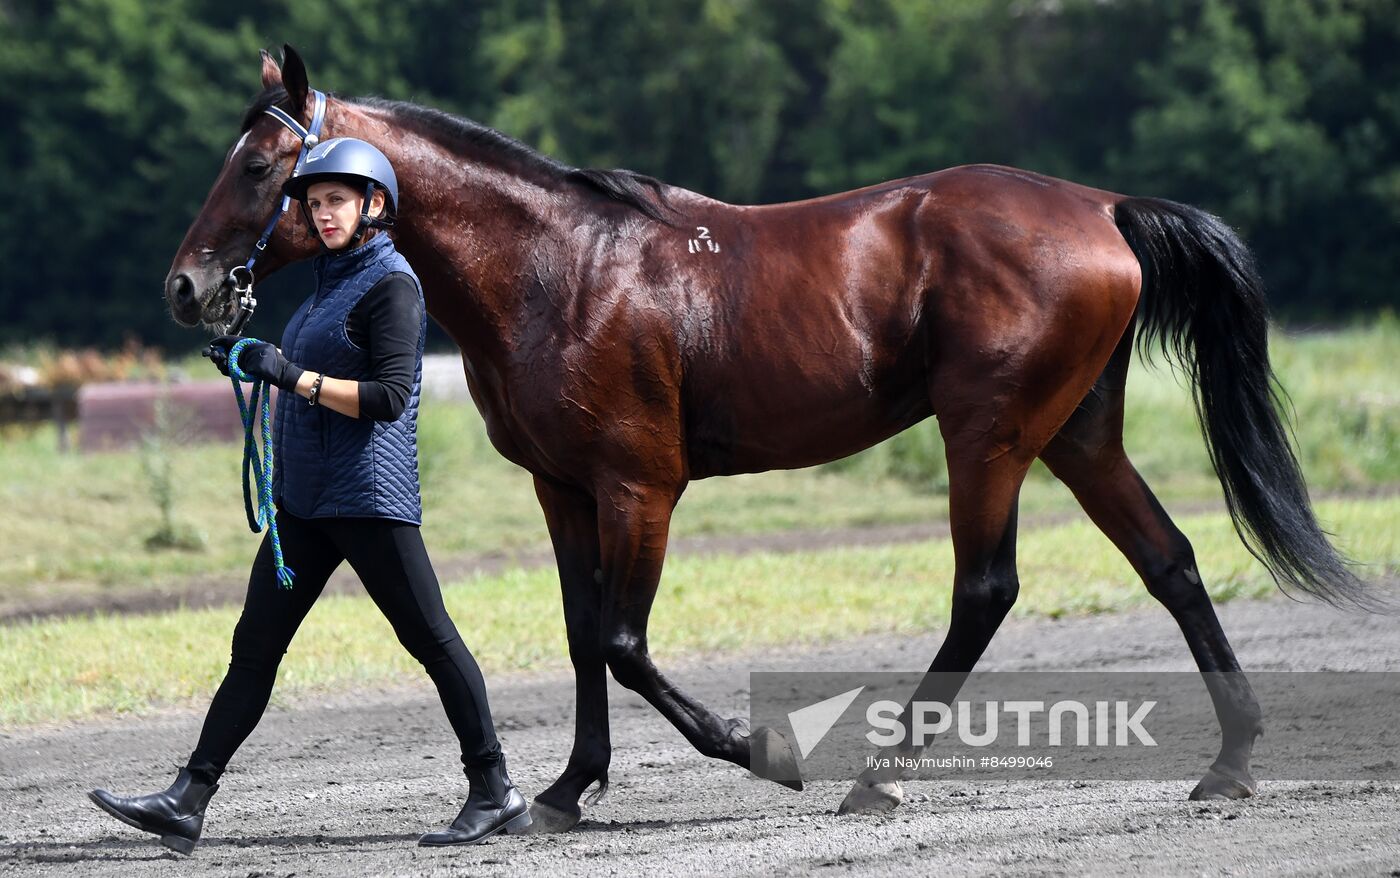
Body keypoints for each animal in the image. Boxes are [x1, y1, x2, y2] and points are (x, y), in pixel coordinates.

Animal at [163, 47, 1366, 828]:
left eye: (262, 169)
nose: (185, 287)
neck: (562, 267)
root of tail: (1102, 206)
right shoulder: (564, 488)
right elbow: (580, 635)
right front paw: (563, 791)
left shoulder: (641, 484)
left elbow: (622, 639)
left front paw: (761, 749)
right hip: (1076, 433)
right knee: (1170, 561)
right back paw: (1230, 763)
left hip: (989, 432)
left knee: (985, 589)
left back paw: (877, 774)